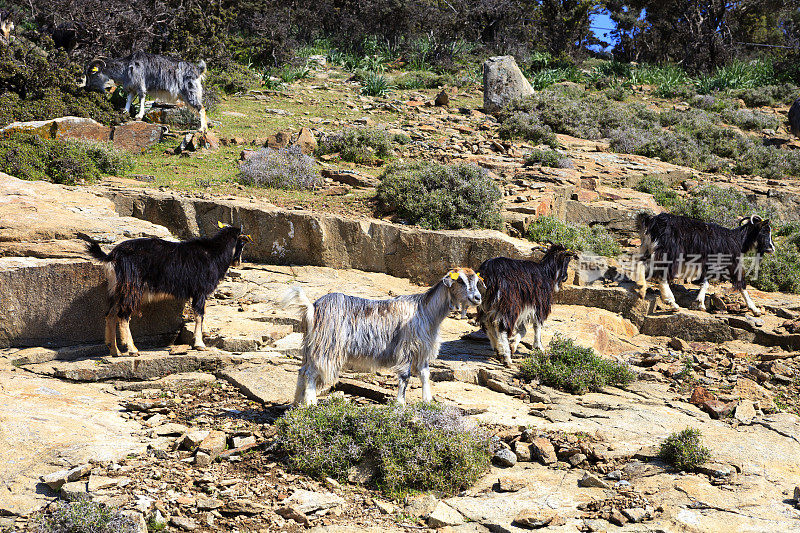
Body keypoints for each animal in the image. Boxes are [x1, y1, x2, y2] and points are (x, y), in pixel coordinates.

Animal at [87, 222, 252, 356]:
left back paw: (114, 351)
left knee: (110, 314)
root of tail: (112, 256)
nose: (238, 262)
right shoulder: (200, 290)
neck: (213, 254)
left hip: (117, 289)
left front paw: (205, 332)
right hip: (132, 288)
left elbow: (202, 312)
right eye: (242, 244)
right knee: (123, 315)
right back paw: (132, 350)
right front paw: (199, 343)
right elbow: (199, 314)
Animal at [282, 268, 482, 406]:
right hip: (326, 347)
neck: (425, 310)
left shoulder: (423, 349)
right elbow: (405, 376)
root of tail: (312, 309)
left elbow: (425, 374)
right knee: (311, 372)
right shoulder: (407, 347)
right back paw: (310, 403)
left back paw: (297, 403)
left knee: (302, 371)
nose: (478, 298)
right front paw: (400, 404)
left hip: (311, 347)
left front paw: (427, 401)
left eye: (476, 281)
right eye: (461, 281)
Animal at [636, 210, 772, 314]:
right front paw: (755, 310)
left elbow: (705, 282)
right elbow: (741, 284)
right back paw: (671, 302)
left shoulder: (708, 265)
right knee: (661, 274)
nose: (772, 248)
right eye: (764, 231)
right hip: (669, 254)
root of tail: (652, 221)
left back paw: (642, 290)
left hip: (649, 249)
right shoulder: (731, 264)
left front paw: (700, 303)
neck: (737, 240)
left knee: (640, 263)